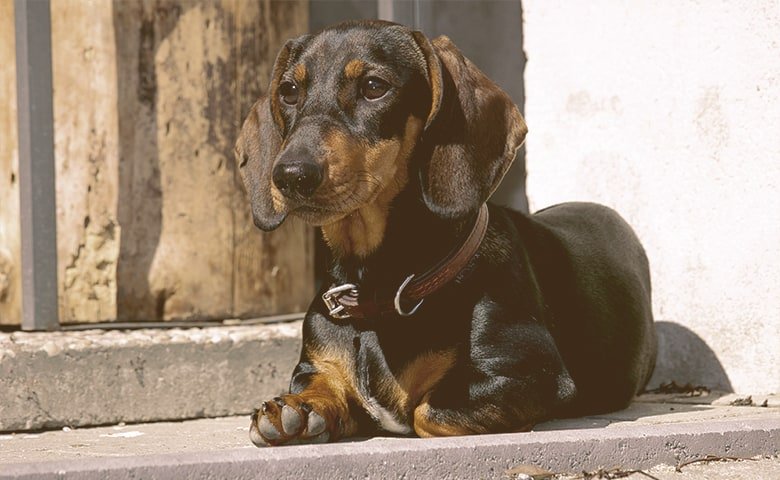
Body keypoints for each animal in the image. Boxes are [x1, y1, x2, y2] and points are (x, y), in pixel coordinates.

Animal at [235, 19, 656, 446]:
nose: (290, 175)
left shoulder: (528, 372)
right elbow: (318, 383)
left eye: (374, 86)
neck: (379, 294)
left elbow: (427, 411)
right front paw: (298, 411)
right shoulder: (315, 365)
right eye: (289, 91)